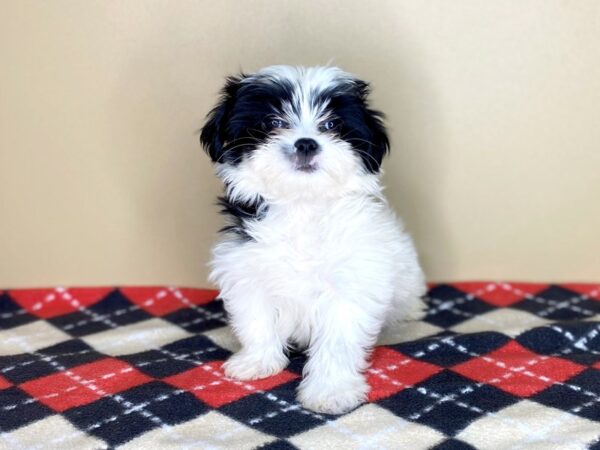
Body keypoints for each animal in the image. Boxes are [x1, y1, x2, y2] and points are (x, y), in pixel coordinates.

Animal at [202, 65, 426, 414]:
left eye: (331, 125)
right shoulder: (246, 272)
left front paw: (331, 391)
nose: (306, 143)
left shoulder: (350, 285)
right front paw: (258, 361)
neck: (302, 205)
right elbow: (256, 322)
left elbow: (337, 342)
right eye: (273, 122)